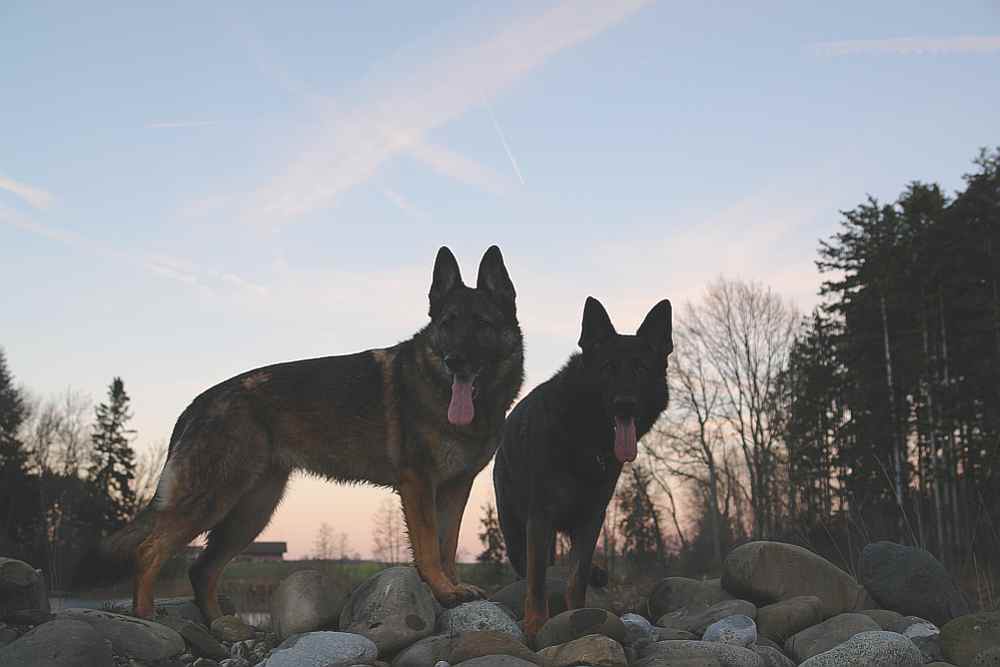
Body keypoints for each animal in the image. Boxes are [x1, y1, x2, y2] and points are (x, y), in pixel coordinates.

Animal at [80, 245, 524, 620]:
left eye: (481, 324)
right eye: (448, 324)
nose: (454, 361)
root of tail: (200, 402)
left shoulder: (454, 488)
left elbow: (448, 546)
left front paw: (454, 587)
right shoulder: (418, 485)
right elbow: (431, 547)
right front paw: (443, 591)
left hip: (251, 512)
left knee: (202, 570)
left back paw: (223, 628)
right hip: (213, 500)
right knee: (149, 551)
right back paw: (146, 616)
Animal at [492, 298, 672, 640]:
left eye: (641, 369)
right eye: (607, 369)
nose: (624, 404)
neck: (585, 437)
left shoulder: (591, 519)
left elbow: (577, 578)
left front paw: (577, 618)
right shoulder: (540, 517)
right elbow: (537, 581)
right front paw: (536, 625)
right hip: (514, 530)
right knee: (526, 570)